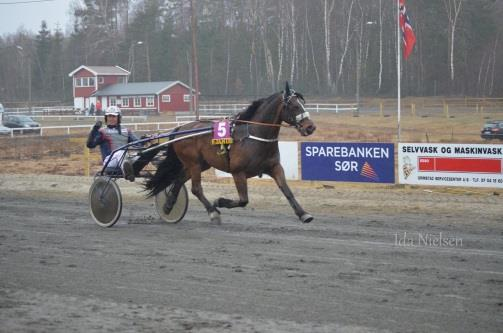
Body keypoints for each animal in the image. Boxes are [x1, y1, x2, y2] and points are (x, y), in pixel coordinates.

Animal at [144, 81, 316, 224]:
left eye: (303, 103)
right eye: (293, 105)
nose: (310, 127)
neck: (255, 135)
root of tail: (180, 128)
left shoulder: (275, 167)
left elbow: (287, 191)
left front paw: (303, 214)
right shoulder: (237, 172)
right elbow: (243, 200)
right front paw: (219, 202)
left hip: (200, 164)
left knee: (179, 179)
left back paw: (168, 206)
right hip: (194, 163)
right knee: (196, 188)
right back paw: (212, 212)